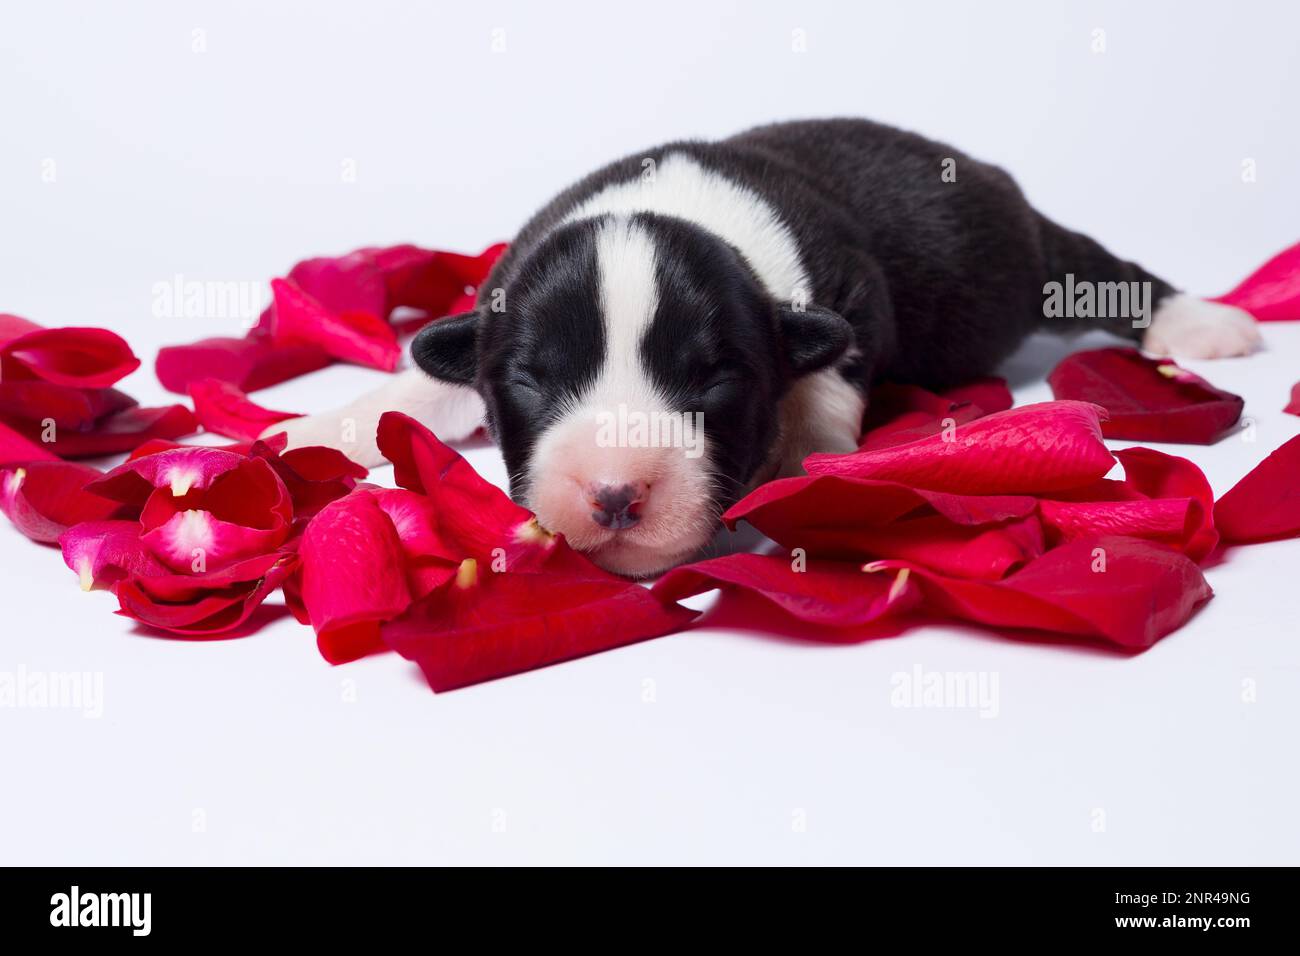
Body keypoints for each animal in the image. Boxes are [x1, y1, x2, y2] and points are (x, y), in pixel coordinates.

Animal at [274, 117, 1258, 574]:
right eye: (532, 381)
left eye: (711, 381)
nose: (616, 496)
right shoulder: (490, 321)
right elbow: (425, 381)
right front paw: (316, 431)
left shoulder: (850, 297)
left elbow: (831, 374)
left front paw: (806, 461)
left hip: (1016, 257)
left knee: (1090, 266)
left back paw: (1200, 322)